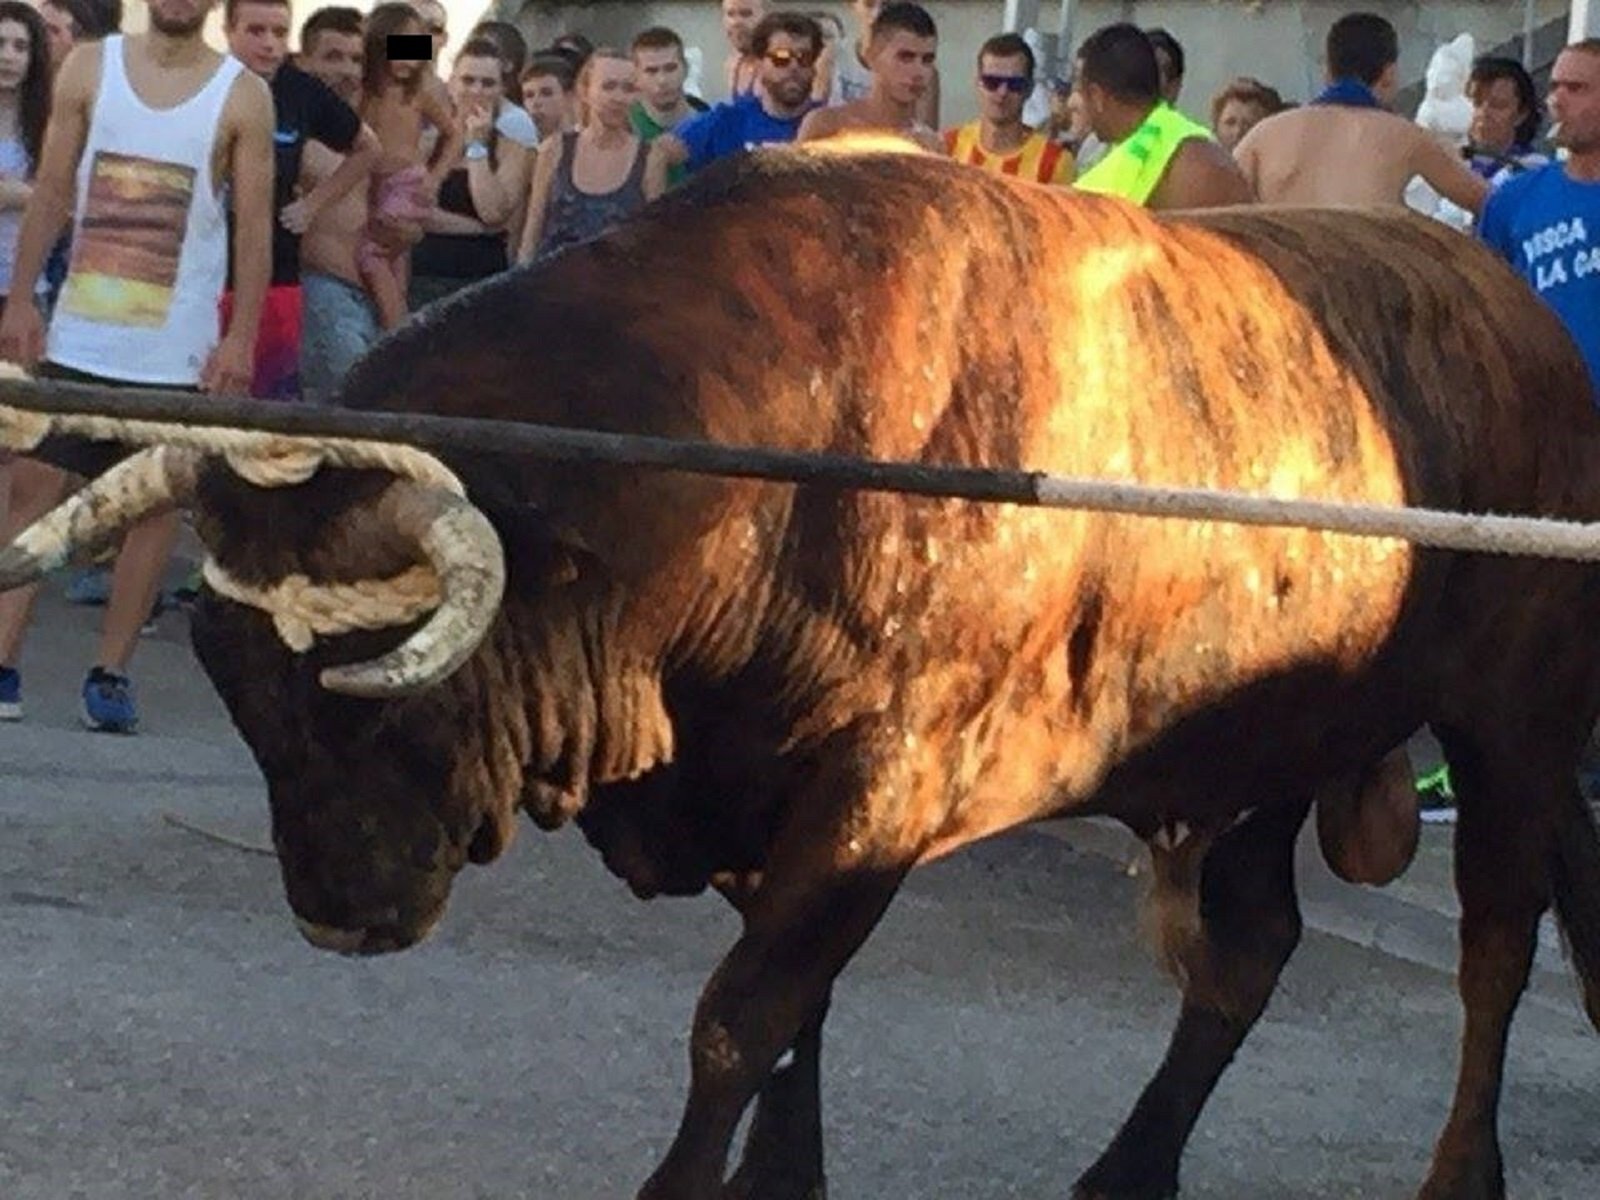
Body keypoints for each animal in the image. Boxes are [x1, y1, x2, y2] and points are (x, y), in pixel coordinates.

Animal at [3, 143, 1600, 1200]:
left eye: (383, 678)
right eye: (233, 674)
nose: (339, 919)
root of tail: (1506, 302)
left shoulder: (879, 788)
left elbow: (742, 1020)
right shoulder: (760, 801)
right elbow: (796, 1024)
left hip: (1514, 718)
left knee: (1495, 951)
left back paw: (1460, 1174)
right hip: (1258, 749)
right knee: (1251, 952)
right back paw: (1128, 1172)